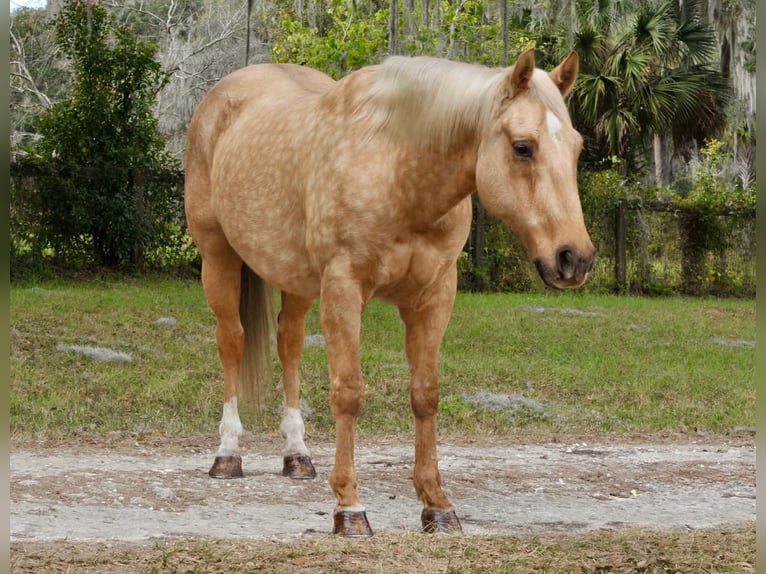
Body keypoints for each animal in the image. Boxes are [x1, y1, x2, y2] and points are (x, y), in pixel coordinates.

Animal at [183, 48, 595, 537]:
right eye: (522, 147)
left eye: (576, 147)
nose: (574, 259)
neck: (397, 170)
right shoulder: (344, 288)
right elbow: (348, 393)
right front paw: (349, 508)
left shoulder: (434, 296)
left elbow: (425, 394)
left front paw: (437, 505)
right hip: (218, 257)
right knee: (232, 341)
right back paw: (227, 453)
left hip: (296, 279)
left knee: (290, 344)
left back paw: (297, 454)